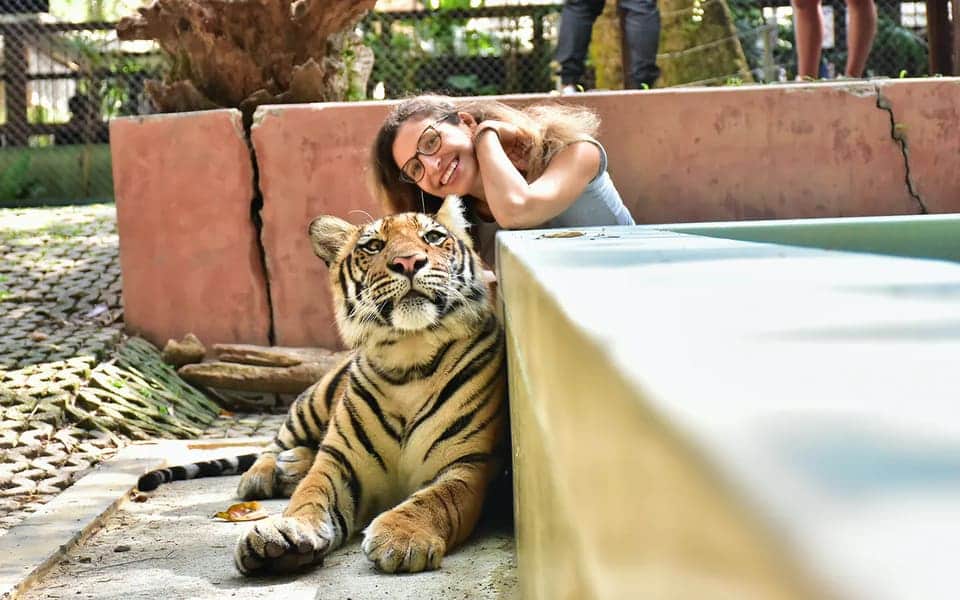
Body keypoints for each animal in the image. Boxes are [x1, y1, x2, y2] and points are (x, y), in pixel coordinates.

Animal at [225, 194, 507, 575]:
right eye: (373, 246)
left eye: (433, 237)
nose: (408, 262)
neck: (410, 355)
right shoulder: (341, 460)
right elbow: (311, 494)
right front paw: (285, 531)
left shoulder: (468, 463)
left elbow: (436, 499)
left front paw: (402, 538)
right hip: (312, 402)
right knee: (275, 445)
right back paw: (266, 474)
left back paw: (292, 466)